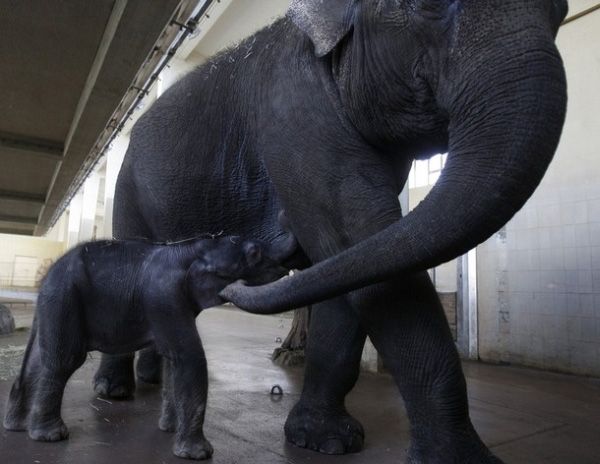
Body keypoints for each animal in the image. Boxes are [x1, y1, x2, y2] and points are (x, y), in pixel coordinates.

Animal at [2, 234, 296, 458]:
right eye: (254, 253)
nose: (286, 270)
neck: (194, 248)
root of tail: (49, 274)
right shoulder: (164, 296)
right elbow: (190, 356)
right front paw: (199, 454)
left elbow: (173, 361)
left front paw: (169, 430)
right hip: (65, 298)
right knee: (64, 361)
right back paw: (51, 436)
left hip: (53, 302)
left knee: (36, 359)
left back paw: (15, 426)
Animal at [94, 1, 568, 462]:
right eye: (428, 6)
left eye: (561, 12)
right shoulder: (293, 109)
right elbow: (356, 235)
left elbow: (348, 261)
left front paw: (323, 442)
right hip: (126, 186)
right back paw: (112, 393)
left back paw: (151, 380)